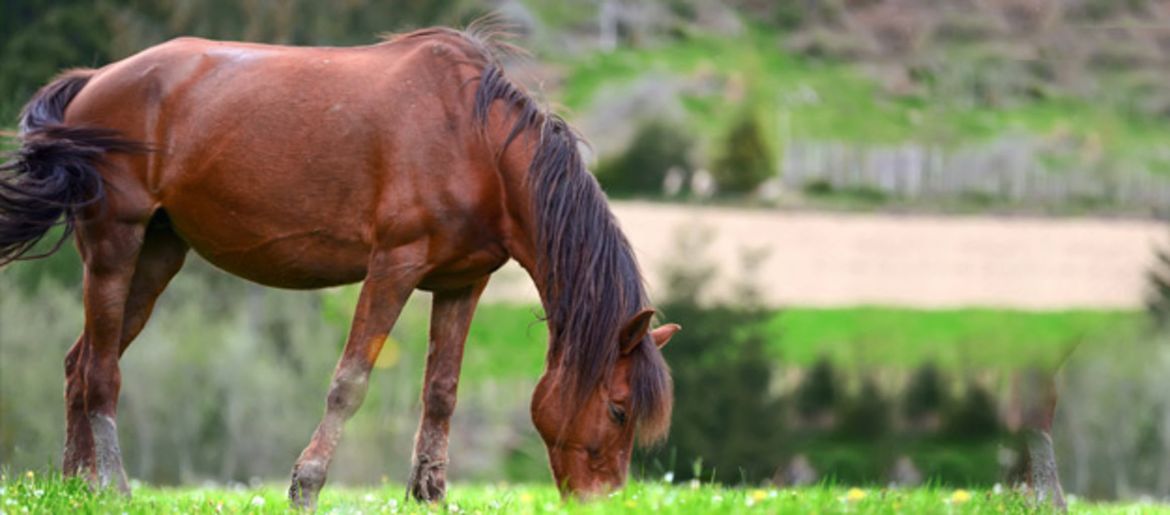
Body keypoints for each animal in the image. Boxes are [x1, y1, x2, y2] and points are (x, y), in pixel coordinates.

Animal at [0, 23, 678, 507]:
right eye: (619, 409)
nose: (603, 502)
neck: (476, 144)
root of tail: (95, 79)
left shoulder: (462, 282)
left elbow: (441, 393)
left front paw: (429, 496)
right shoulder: (394, 267)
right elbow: (349, 384)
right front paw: (305, 485)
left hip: (159, 254)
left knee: (81, 364)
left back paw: (76, 486)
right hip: (115, 243)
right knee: (100, 374)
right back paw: (112, 486)